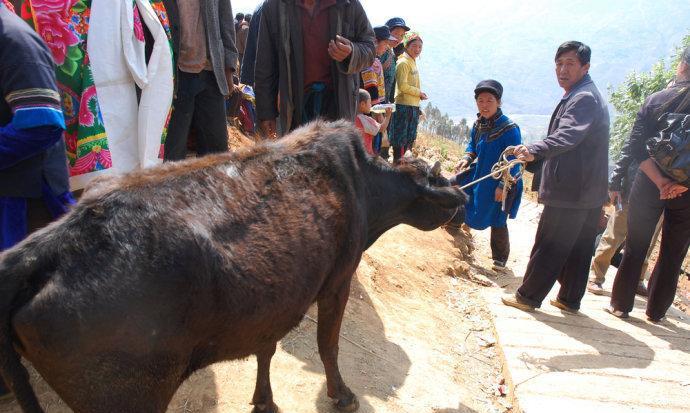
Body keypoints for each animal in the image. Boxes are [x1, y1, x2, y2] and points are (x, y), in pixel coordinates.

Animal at [0, 120, 464, 410]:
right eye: (437, 181)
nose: (462, 195)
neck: (363, 185)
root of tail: (46, 246)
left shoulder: (274, 298)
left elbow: (266, 346)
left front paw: (264, 400)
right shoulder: (338, 281)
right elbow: (327, 346)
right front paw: (342, 395)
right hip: (126, 395)